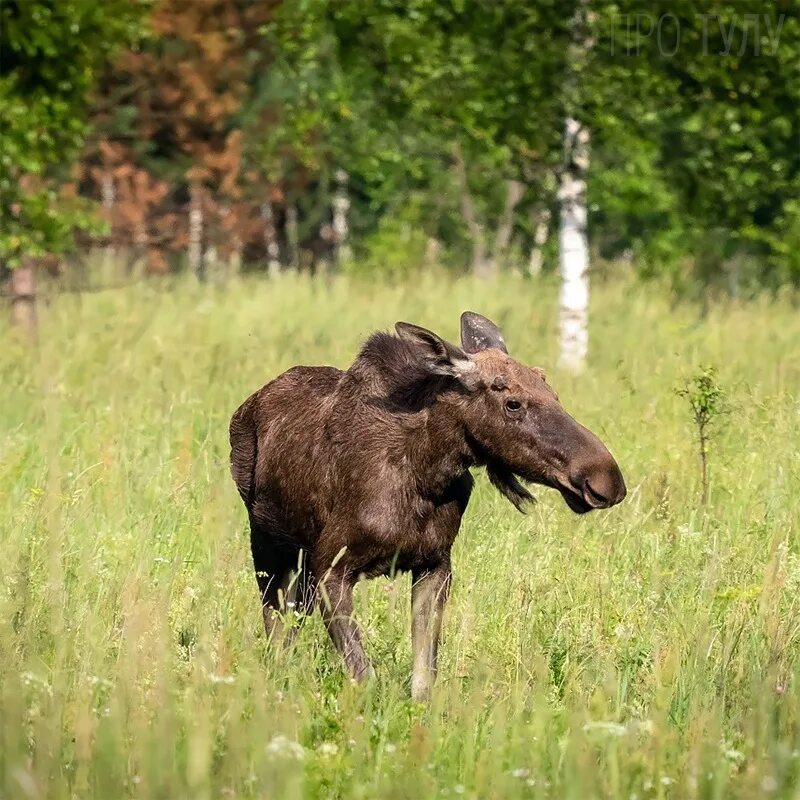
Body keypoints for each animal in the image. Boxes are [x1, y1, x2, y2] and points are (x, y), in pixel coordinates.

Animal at [230, 312, 624, 700]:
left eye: (553, 393)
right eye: (512, 402)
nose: (606, 478)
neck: (426, 472)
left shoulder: (435, 565)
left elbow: (423, 678)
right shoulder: (330, 566)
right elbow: (363, 674)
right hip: (268, 549)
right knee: (278, 632)